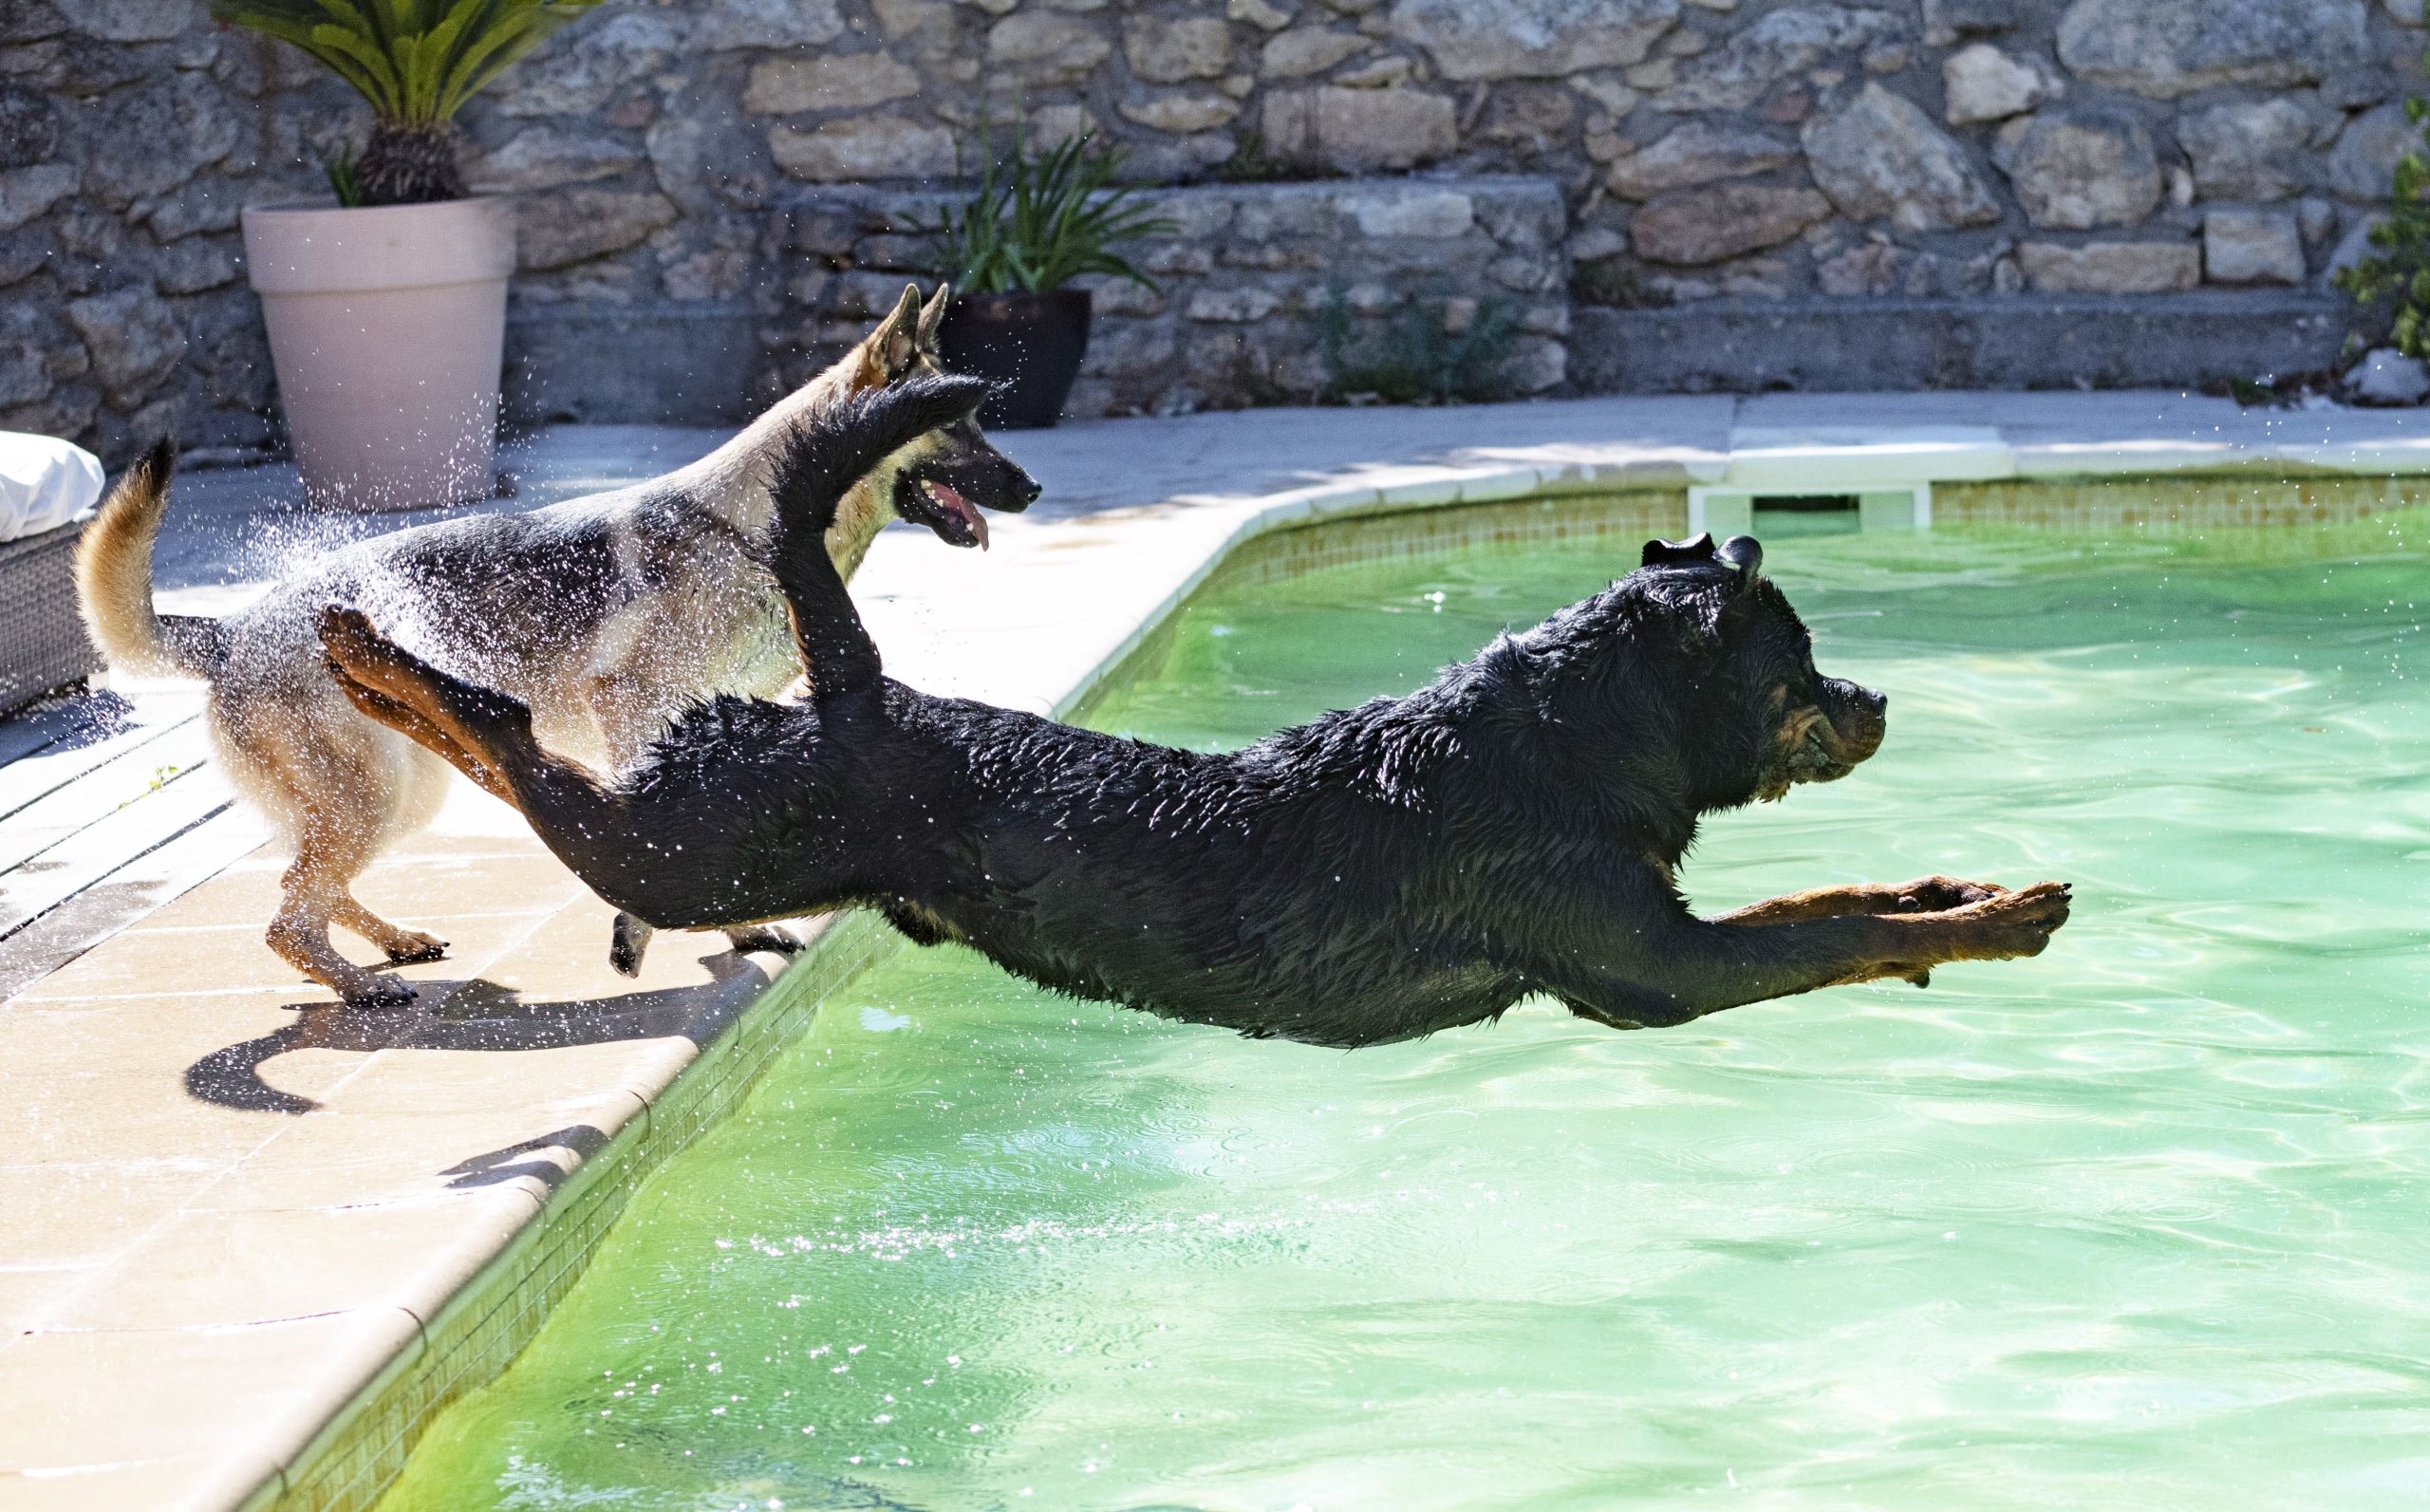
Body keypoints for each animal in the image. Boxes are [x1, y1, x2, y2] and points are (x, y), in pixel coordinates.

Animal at [318, 374, 2070, 1050]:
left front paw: (1950, 890)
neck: (1568, 747)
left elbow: (1839, 902)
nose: (1877, 696)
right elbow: (1824, 933)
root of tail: (860, 691)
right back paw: (370, 651)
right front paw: (1990, 919)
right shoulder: (1655, 972)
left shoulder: (1667, 933)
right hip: (693, 854)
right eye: (1800, 666)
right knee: (522, 752)